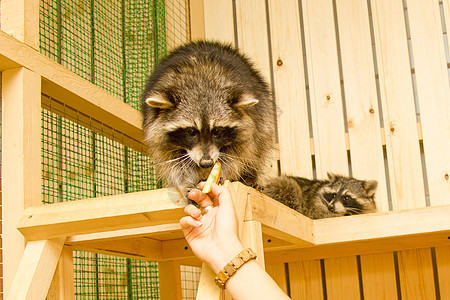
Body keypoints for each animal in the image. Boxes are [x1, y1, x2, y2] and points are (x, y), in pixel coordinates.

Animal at [142, 40, 274, 195]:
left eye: (216, 131)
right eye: (191, 131)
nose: (206, 163)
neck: (202, 82)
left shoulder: (249, 122)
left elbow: (240, 153)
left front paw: (225, 171)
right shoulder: (157, 131)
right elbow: (172, 160)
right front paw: (185, 182)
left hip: (264, 113)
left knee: (260, 145)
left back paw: (250, 177)